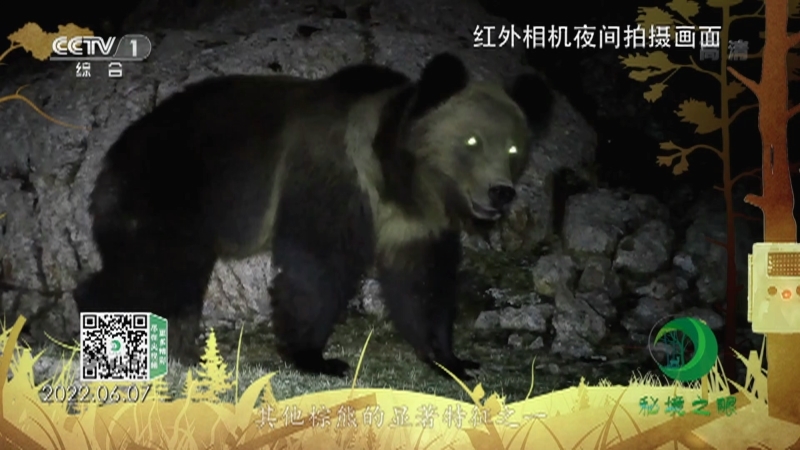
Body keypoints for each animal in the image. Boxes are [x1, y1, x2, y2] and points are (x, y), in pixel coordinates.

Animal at [74, 52, 554, 380]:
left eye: (514, 148)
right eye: (472, 142)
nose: (500, 193)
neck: (394, 179)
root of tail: (113, 155)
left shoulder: (413, 224)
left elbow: (423, 282)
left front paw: (451, 356)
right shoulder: (329, 175)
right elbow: (317, 266)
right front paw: (318, 357)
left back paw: (179, 349)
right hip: (174, 191)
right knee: (158, 270)